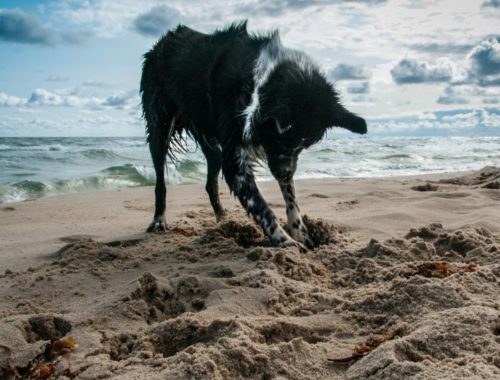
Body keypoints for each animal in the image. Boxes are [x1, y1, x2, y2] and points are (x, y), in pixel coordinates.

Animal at [141, 21, 368, 252]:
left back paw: (222, 219)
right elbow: (262, 207)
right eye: (280, 140)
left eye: (304, 146)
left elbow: (291, 196)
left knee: (212, 168)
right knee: (160, 181)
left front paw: (299, 230)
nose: (285, 174)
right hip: (160, 125)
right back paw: (159, 220)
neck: (258, 84)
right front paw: (285, 241)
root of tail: (164, 40)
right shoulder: (237, 161)